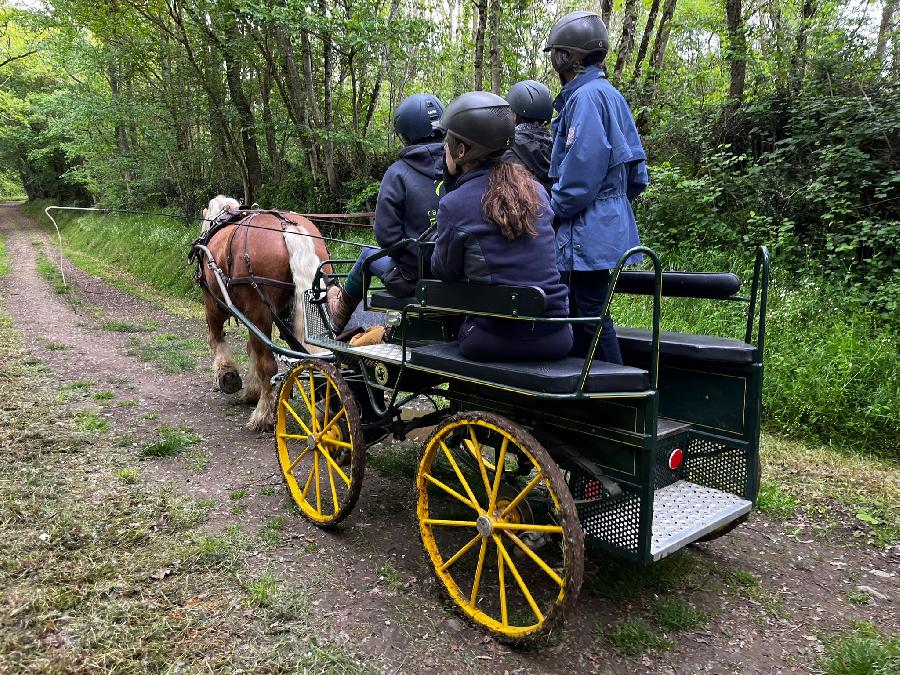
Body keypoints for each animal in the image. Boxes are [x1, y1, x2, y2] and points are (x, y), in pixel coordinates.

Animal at [197, 194, 330, 434]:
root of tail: (288, 226)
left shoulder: (213, 303)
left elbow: (216, 338)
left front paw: (227, 375)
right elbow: (251, 349)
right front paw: (251, 389)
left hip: (258, 311)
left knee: (268, 365)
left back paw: (262, 416)